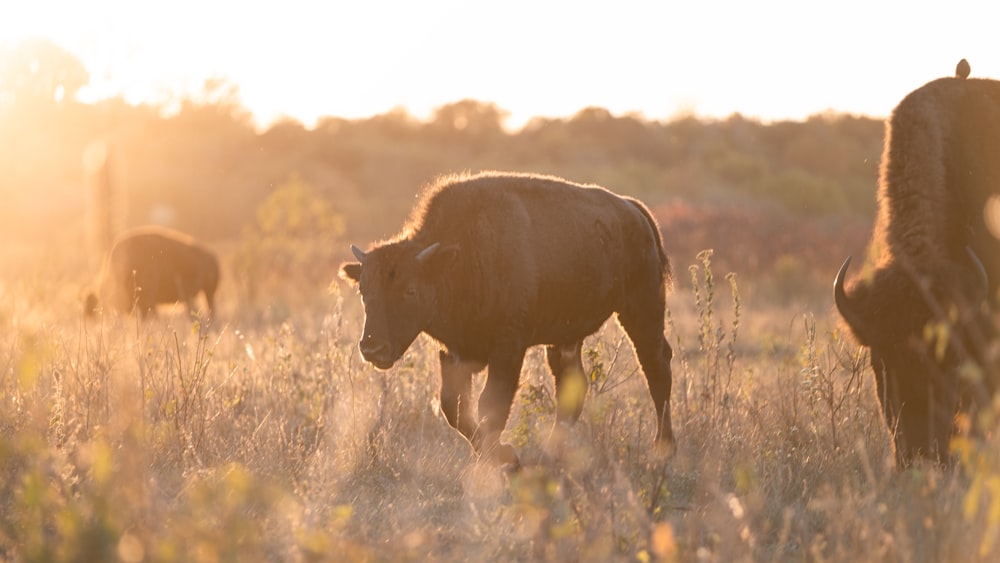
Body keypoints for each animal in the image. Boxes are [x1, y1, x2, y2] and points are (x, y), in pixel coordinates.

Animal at [340, 172, 676, 468]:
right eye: (363, 289)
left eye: (410, 290)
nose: (372, 348)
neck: (459, 257)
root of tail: (635, 211)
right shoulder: (454, 354)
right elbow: (454, 407)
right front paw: (504, 456)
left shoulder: (509, 350)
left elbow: (491, 406)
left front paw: (500, 460)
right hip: (566, 339)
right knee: (573, 386)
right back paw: (552, 453)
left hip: (642, 310)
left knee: (656, 366)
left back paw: (663, 448)